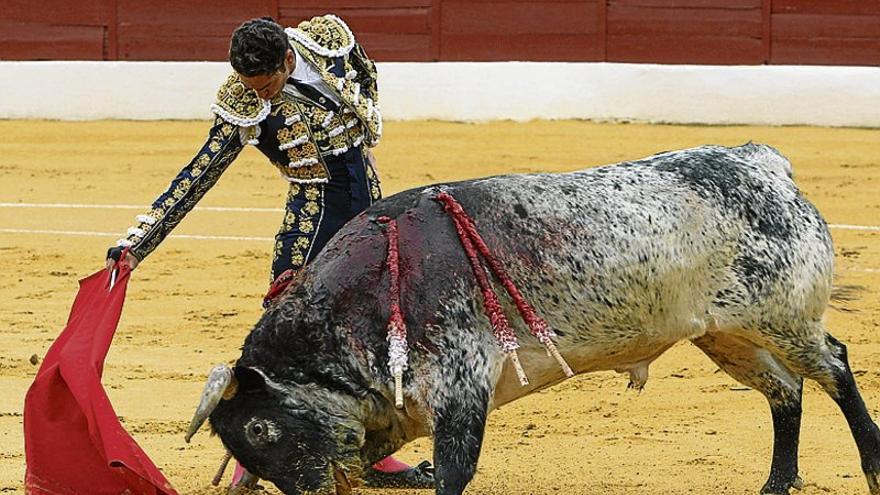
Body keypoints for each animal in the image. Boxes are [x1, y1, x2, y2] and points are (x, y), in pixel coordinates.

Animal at [186, 143, 880, 495]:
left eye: (261, 432)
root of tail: (763, 163)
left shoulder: (462, 387)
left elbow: (453, 472)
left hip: (783, 318)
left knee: (836, 367)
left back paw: (871, 467)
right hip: (725, 334)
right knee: (785, 391)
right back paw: (777, 484)